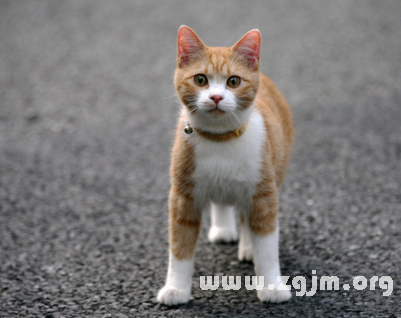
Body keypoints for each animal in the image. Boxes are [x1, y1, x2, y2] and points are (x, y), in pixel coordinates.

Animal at [157, 25, 294, 306]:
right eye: (200, 80)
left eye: (233, 81)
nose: (217, 96)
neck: (220, 139)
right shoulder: (182, 196)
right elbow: (179, 246)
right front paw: (176, 288)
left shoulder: (265, 193)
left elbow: (267, 245)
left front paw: (272, 286)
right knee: (222, 201)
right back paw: (223, 228)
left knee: (247, 216)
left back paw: (248, 246)